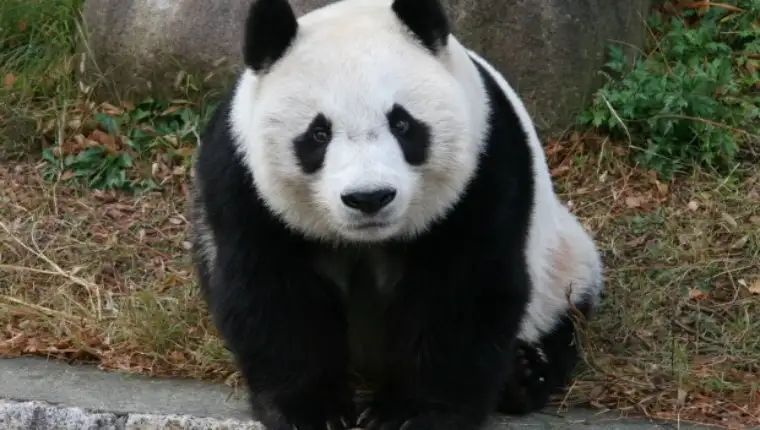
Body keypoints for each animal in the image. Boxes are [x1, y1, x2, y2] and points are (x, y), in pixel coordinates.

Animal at [188, 0, 604, 429]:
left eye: (402, 123)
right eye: (318, 134)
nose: (369, 198)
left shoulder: (483, 170)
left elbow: (460, 291)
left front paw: (410, 414)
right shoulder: (245, 184)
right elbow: (273, 291)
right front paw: (314, 410)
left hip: (560, 261)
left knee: (564, 308)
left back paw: (525, 374)